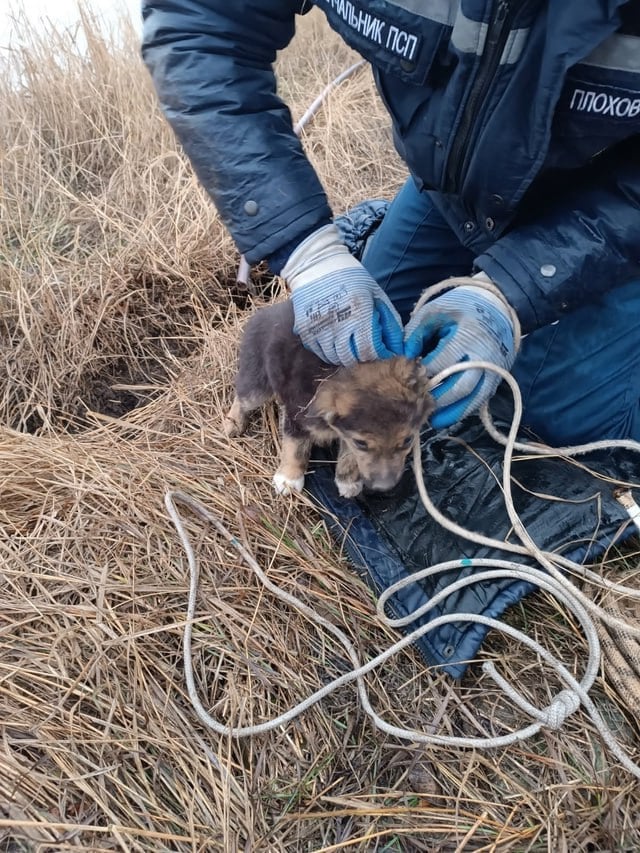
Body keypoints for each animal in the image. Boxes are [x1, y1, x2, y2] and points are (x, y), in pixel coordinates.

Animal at [221, 302, 436, 496]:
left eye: (408, 440)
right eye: (362, 444)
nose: (384, 488)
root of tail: (265, 311)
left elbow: (349, 455)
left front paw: (347, 480)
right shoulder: (297, 415)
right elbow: (295, 447)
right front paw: (289, 478)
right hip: (257, 381)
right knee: (242, 396)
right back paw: (232, 423)